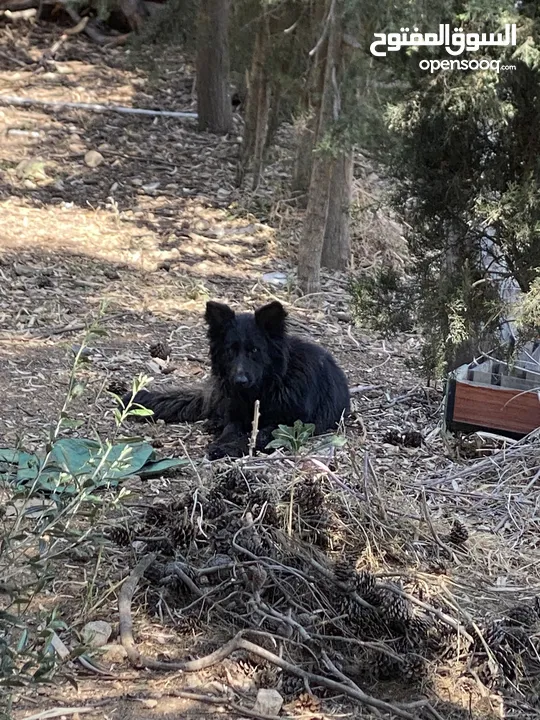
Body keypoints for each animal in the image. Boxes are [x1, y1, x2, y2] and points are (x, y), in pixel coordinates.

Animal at [122, 300, 350, 458]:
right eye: (230, 351)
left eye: (255, 350)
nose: (239, 380)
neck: (262, 390)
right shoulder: (235, 415)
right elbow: (231, 429)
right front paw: (222, 442)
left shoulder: (289, 425)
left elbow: (257, 435)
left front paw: (229, 448)